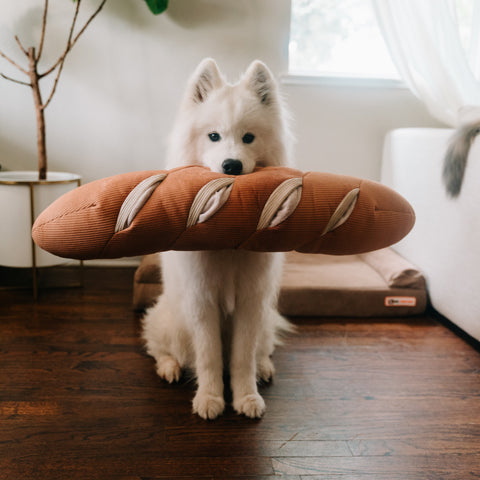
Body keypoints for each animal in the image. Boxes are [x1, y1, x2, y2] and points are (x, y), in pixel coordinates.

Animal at [142, 58, 292, 420]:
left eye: (248, 138)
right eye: (214, 136)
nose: (232, 165)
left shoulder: (251, 303)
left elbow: (241, 358)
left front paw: (246, 397)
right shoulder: (202, 300)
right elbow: (209, 357)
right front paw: (210, 399)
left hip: (265, 322)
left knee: (261, 351)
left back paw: (264, 368)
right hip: (171, 323)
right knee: (159, 348)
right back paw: (169, 368)